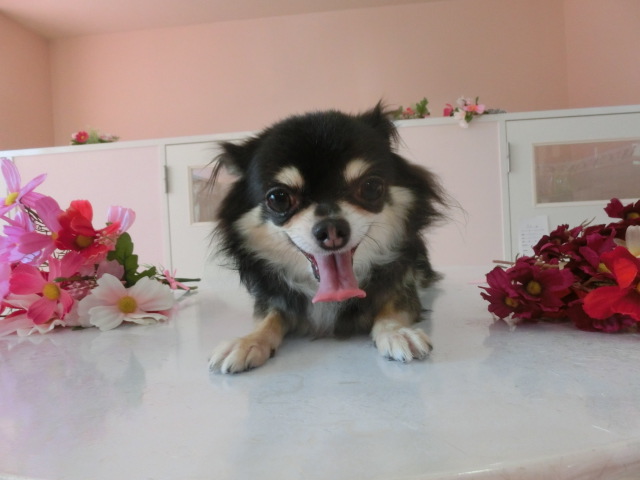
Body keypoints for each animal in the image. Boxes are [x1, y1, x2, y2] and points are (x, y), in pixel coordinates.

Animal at [208, 103, 445, 373]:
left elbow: (394, 307)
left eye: (371, 187)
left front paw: (397, 332)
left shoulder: (402, 283)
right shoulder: (273, 298)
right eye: (278, 198)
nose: (331, 229)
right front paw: (248, 341)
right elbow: (267, 317)